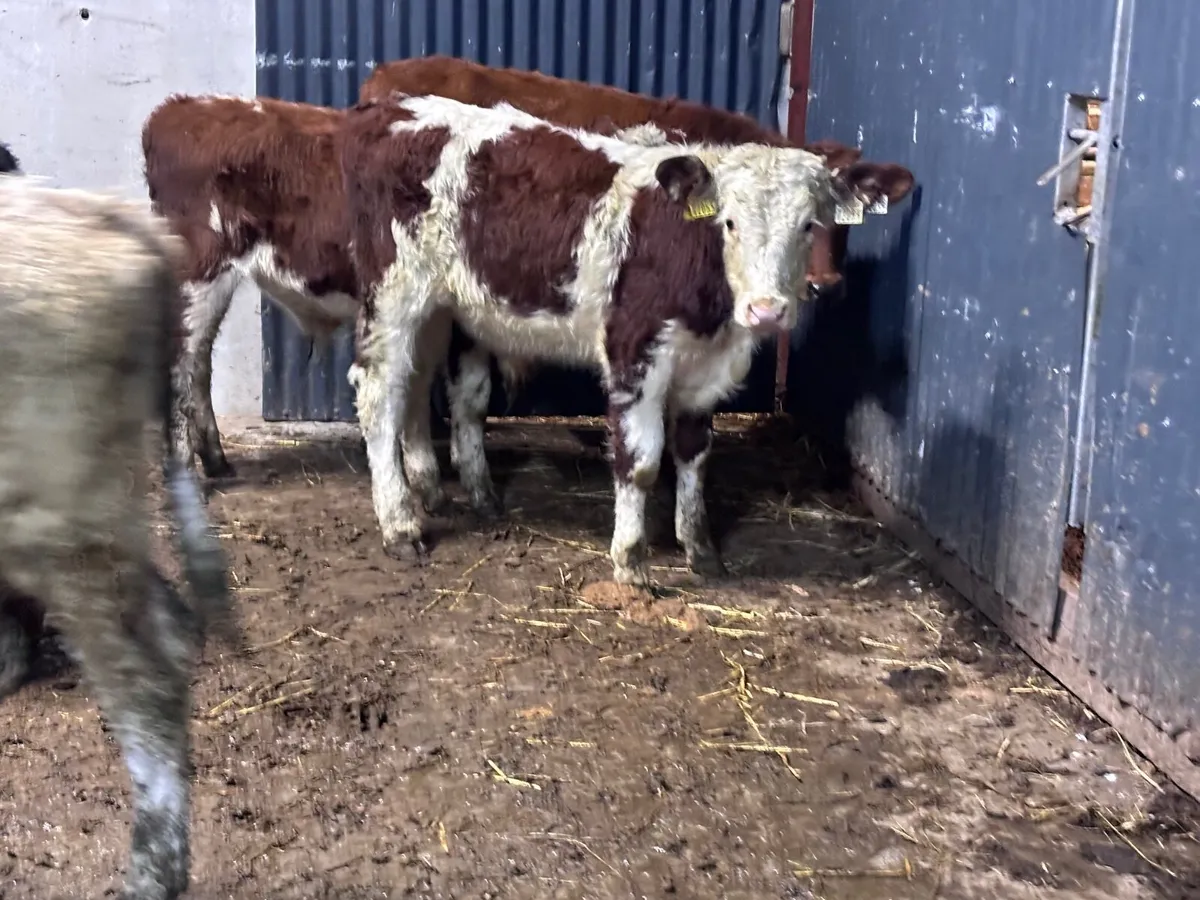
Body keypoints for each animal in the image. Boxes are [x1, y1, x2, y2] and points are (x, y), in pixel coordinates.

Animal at [340, 95, 906, 584]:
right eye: (729, 222)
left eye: (810, 224)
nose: (766, 309)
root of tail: (397, 108)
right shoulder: (635, 353)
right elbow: (641, 460)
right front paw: (631, 561)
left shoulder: (703, 370)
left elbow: (694, 453)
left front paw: (700, 549)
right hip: (394, 294)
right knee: (380, 395)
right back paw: (400, 525)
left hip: (443, 308)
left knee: (419, 388)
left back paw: (458, 496)